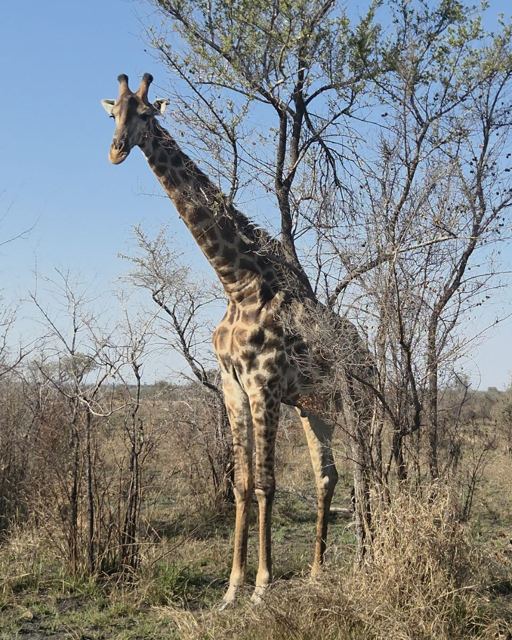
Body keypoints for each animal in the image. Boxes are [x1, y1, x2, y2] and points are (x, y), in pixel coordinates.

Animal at [101, 73, 375, 606]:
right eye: (112, 114)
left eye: (145, 113)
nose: (117, 150)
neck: (238, 282)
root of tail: (372, 357)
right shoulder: (232, 386)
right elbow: (242, 484)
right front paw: (232, 587)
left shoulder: (264, 384)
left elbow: (267, 483)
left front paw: (263, 586)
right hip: (316, 411)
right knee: (327, 476)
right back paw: (317, 570)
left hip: (362, 405)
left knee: (367, 472)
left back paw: (366, 558)